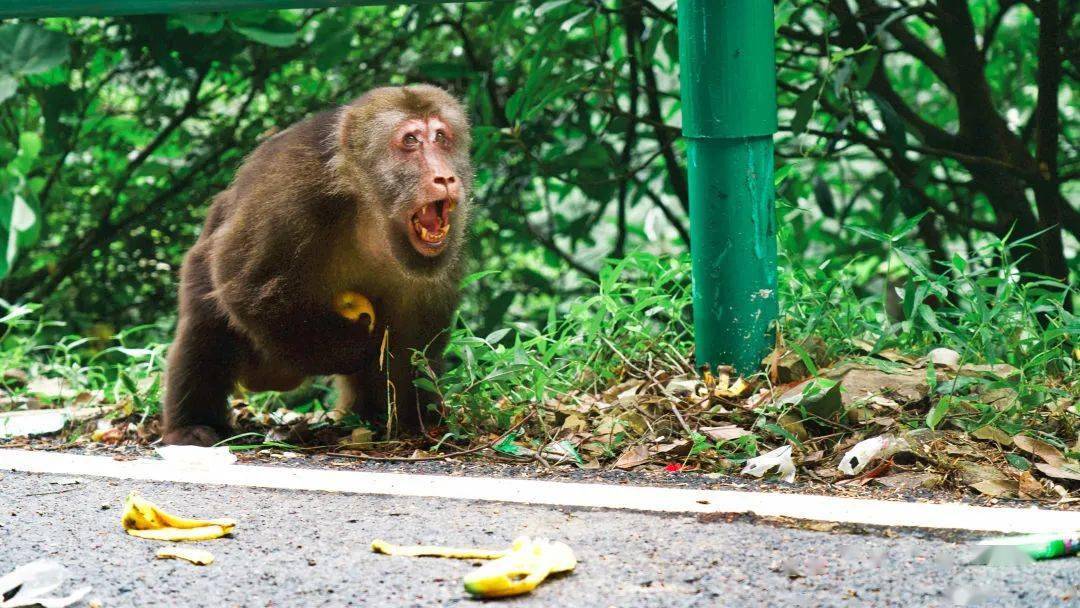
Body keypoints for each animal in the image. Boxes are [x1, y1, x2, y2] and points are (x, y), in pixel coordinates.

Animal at [163, 84, 473, 447]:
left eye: (440, 137)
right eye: (410, 140)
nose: (445, 177)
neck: (370, 210)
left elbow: (416, 338)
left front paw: (418, 421)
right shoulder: (288, 194)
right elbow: (246, 288)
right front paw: (352, 347)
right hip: (201, 257)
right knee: (205, 326)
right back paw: (192, 424)